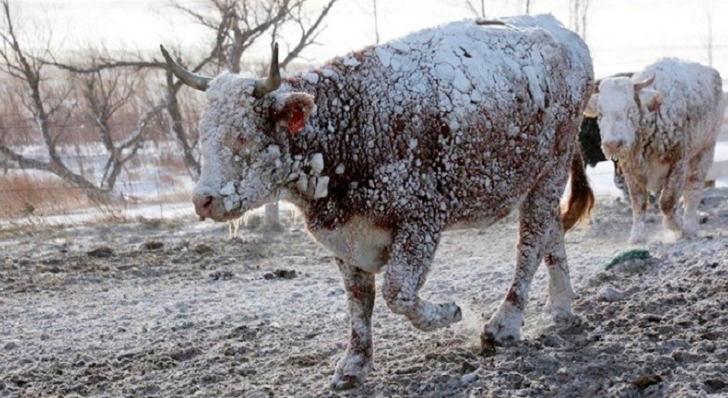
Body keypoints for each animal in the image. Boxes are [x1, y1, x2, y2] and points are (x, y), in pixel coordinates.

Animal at [162, 14, 596, 388]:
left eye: (242, 135)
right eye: (203, 133)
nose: (203, 200)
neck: (350, 124)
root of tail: (562, 34)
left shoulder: (421, 220)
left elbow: (396, 293)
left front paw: (449, 313)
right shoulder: (346, 237)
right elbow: (360, 302)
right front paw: (354, 364)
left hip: (549, 171)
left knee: (530, 243)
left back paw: (504, 324)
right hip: (541, 179)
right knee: (550, 233)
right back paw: (560, 309)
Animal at [584, 57, 724, 244]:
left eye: (631, 110)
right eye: (600, 114)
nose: (613, 144)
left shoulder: (678, 161)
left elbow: (667, 200)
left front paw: (677, 226)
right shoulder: (630, 168)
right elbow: (639, 202)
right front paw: (637, 236)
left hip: (706, 148)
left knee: (693, 187)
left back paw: (690, 226)